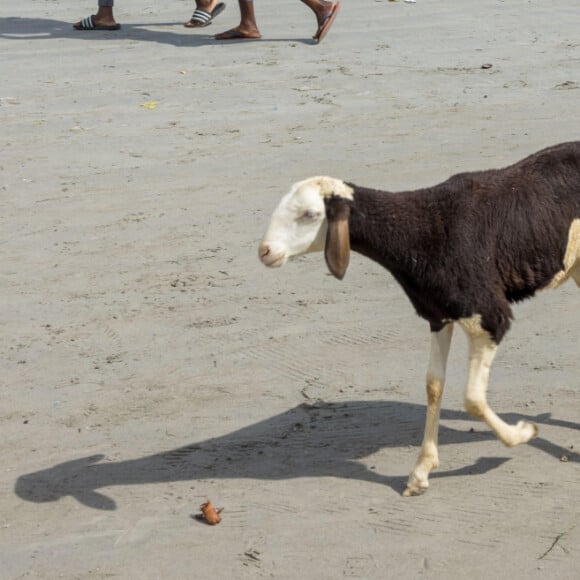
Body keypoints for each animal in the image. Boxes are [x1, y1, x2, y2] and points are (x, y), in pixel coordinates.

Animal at [258, 143, 580, 496]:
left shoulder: (488, 314)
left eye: (310, 215)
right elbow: (433, 385)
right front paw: (421, 472)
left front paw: (523, 433)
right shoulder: (439, 313)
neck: (421, 232)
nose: (264, 251)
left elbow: (472, 399)